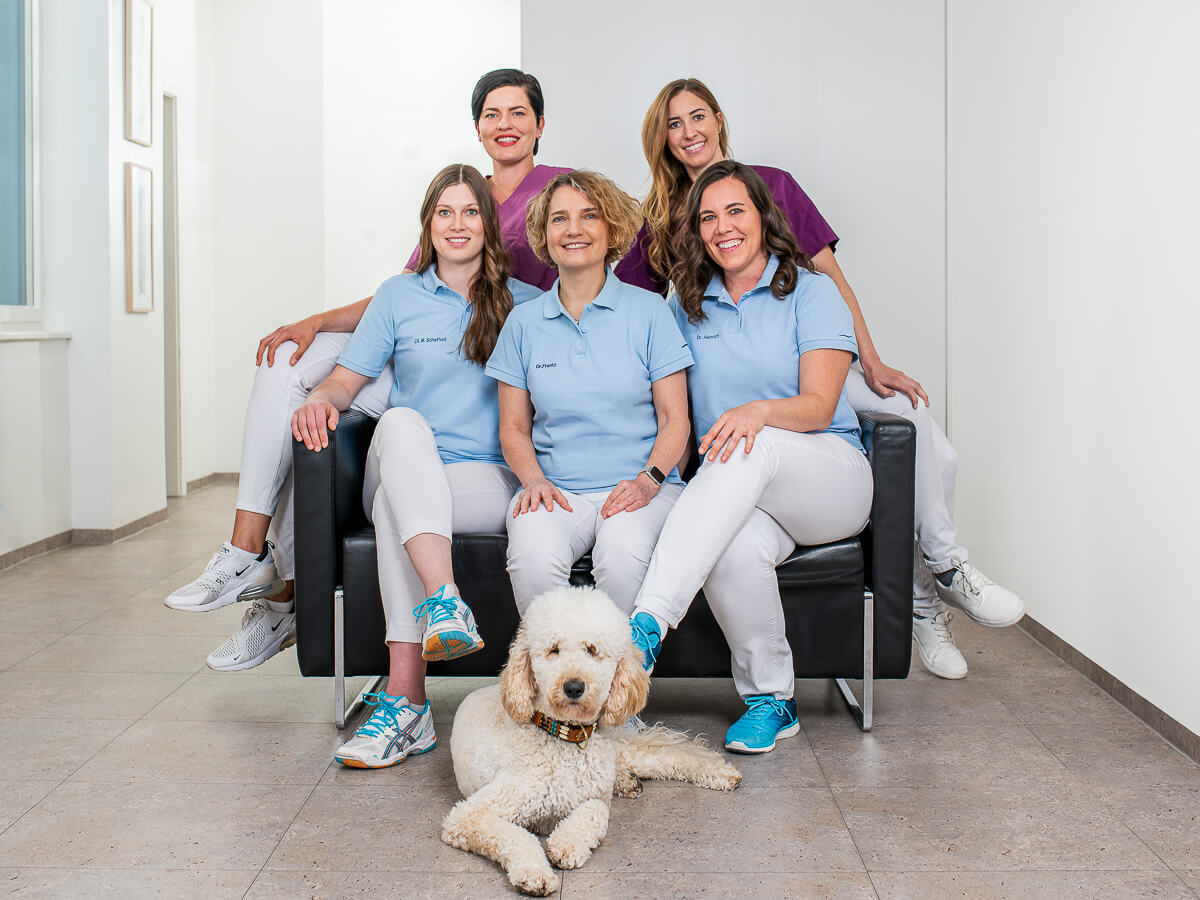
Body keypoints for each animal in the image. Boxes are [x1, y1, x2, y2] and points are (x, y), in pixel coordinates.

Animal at [441, 588, 739, 897]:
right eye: (554, 650)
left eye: (592, 650)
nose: (574, 687)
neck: (565, 737)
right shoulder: (469, 814)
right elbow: (517, 836)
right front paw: (534, 873)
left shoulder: (593, 798)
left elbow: (595, 812)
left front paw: (567, 843)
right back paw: (628, 781)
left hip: (617, 752)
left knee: (661, 755)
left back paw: (718, 772)